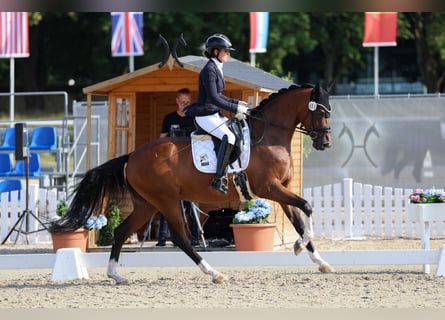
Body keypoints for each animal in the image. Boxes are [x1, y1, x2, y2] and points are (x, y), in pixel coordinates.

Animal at [54, 81, 332, 284]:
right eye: (320, 111)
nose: (325, 143)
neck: (269, 136)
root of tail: (131, 156)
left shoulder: (281, 190)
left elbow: (299, 221)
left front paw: (319, 260)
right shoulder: (270, 188)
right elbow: (307, 207)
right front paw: (299, 246)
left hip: (147, 204)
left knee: (122, 231)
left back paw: (115, 274)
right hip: (166, 201)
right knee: (181, 237)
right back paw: (214, 273)